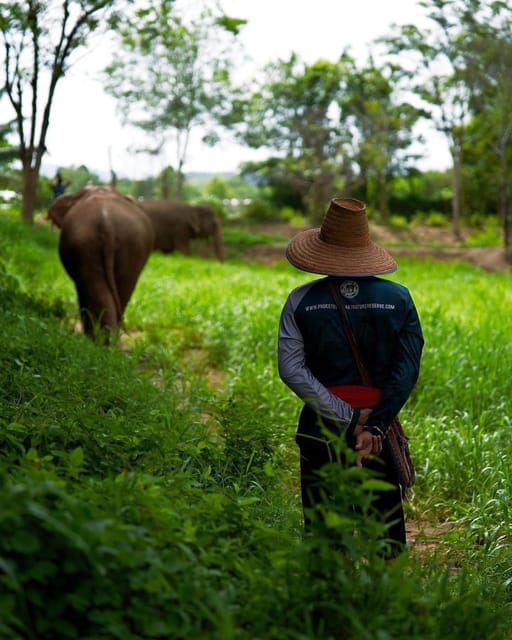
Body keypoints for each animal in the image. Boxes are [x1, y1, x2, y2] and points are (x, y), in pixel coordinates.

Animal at [49, 184, 155, 340]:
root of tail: (107, 224)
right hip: (130, 245)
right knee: (121, 291)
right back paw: (108, 342)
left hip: (89, 244)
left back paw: (98, 341)